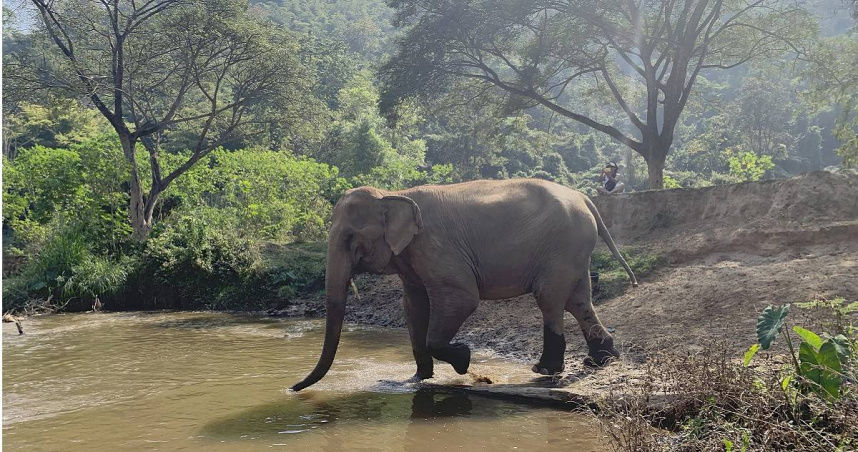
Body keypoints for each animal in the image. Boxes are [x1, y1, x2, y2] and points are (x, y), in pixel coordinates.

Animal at [292, 178, 636, 390]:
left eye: (350, 239)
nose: (293, 387)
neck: (393, 193)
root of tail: (583, 198)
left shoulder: (437, 247)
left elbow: (461, 298)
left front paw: (464, 360)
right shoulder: (413, 257)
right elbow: (413, 305)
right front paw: (418, 379)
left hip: (561, 246)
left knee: (550, 298)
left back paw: (545, 370)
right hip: (573, 249)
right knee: (578, 299)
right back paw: (601, 359)